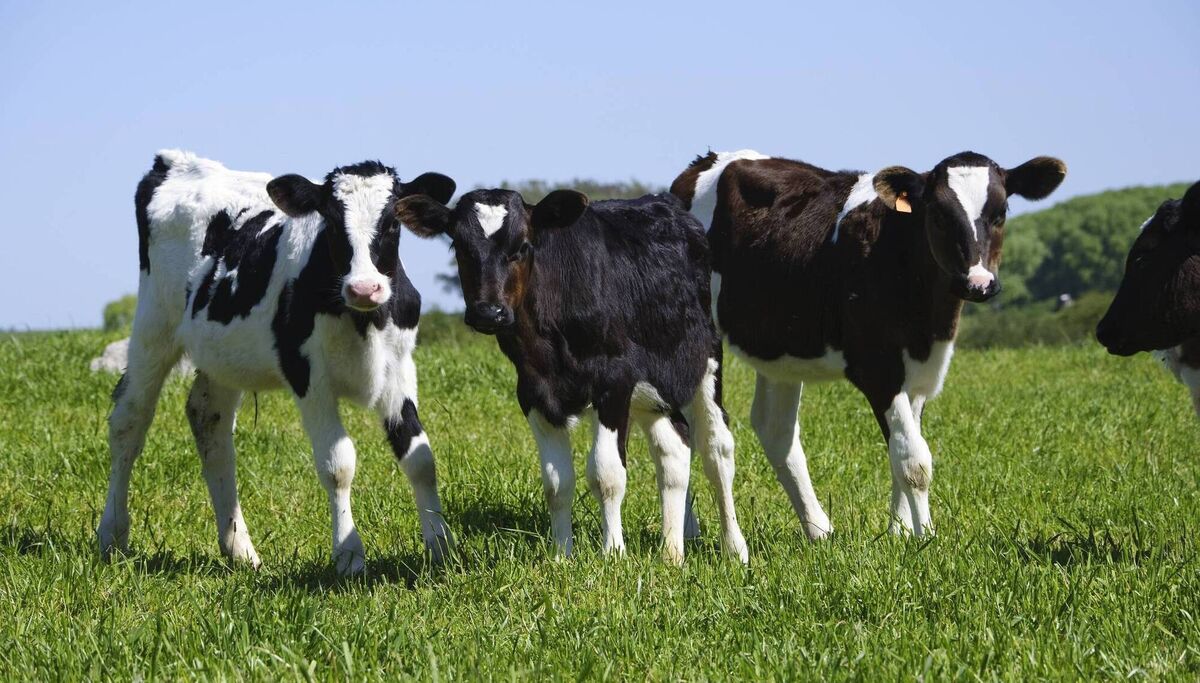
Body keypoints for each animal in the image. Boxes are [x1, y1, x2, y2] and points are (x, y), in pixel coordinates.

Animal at [97, 150, 456, 575]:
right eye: (331, 220)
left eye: (392, 221)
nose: (365, 288)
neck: (363, 318)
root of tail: (175, 161)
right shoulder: (308, 375)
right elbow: (338, 465)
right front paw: (349, 556)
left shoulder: (399, 368)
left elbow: (421, 458)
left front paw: (442, 547)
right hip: (153, 327)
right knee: (129, 421)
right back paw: (112, 535)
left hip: (221, 355)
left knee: (209, 422)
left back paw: (239, 548)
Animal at [394, 189, 748, 564]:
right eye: (459, 247)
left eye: (522, 245)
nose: (489, 312)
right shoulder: (534, 393)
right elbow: (557, 483)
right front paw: (562, 556)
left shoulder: (615, 382)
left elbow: (606, 474)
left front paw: (613, 554)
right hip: (652, 391)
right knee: (673, 449)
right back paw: (671, 552)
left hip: (706, 360)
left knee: (716, 450)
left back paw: (734, 548)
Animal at [671, 149, 1066, 538]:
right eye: (939, 215)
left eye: (1000, 213)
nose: (978, 283)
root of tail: (703, 163)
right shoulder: (879, 370)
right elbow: (913, 459)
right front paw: (926, 538)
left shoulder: (919, 374)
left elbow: (901, 449)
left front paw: (900, 533)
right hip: (698, 340)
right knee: (703, 433)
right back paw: (699, 535)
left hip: (779, 347)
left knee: (773, 430)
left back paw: (818, 530)